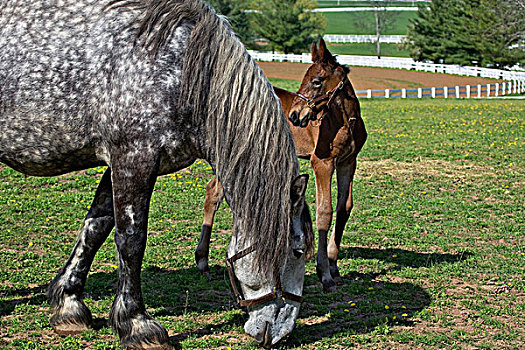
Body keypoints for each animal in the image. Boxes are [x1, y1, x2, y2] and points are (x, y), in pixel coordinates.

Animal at [0, 1, 312, 348]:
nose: (280, 332)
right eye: (298, 251)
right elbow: (131, 241)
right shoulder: (135, 158)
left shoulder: (120, 163)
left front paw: (69, 306)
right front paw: (137, 324)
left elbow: (96, 227)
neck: (182, 70)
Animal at [194, 39, 366, 292]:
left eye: (316, 81)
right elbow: (324, 211)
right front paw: (324, 274)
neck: (345, 121)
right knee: (214, 193)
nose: (295, 115)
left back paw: (203, 262)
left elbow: (344, 208)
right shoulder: (322, 163)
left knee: (214, 191)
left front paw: (334, 267)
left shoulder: (348, 162)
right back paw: (204, 261)